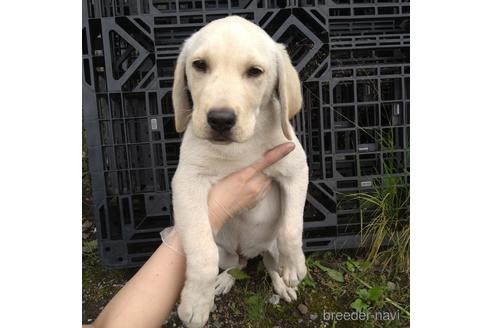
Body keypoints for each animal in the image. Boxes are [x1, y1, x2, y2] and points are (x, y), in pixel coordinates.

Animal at [171, 14, 306, 326]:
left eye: (255, 72)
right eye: (199, 65)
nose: (220, 119)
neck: (241, 148)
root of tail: (248, 251)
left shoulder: (296, 170)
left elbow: (291, 228)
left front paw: (294, 266)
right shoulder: (187, 182)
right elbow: (202, 253)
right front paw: (196, 303)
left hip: (269, 246)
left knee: (270, 263)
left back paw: (282, 282)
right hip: (226, 252)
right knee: (236, 265)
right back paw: (224, 280)